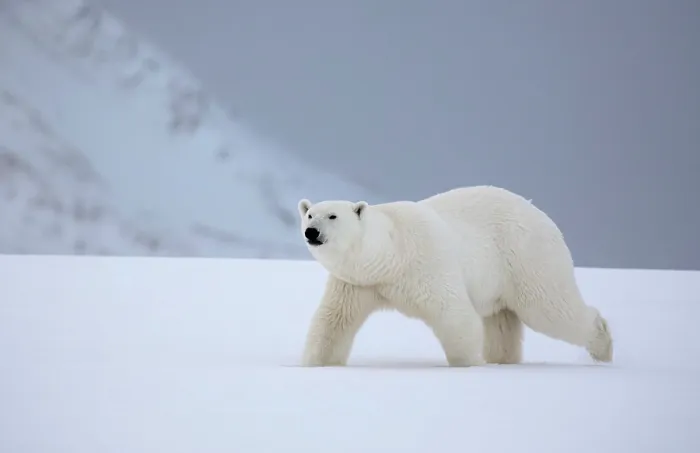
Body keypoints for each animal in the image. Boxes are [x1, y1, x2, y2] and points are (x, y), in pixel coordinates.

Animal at [297, 185, 613, 367]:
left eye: (333, 216)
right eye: (310, 215)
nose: (311, 232)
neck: (390, 256)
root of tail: (543, 215)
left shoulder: (425, 266)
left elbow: (454, 314)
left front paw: (467, 364)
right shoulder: (357, 282)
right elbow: (334, 321)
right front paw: (316, 362)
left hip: (527, 257)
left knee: (550, 308)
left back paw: (603, 347)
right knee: (501, 320)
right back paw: (501, 359)